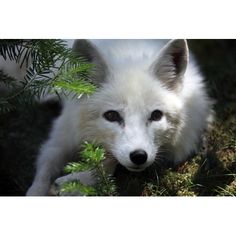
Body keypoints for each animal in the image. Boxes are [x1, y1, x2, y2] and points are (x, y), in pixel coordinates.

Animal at [26, 39, 213, 196]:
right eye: (111, 115)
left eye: (156, 115)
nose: (139, 156)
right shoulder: (62, 135)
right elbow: (45, 167)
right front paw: (38, 191)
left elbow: (108, 163)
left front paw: (72, 184)